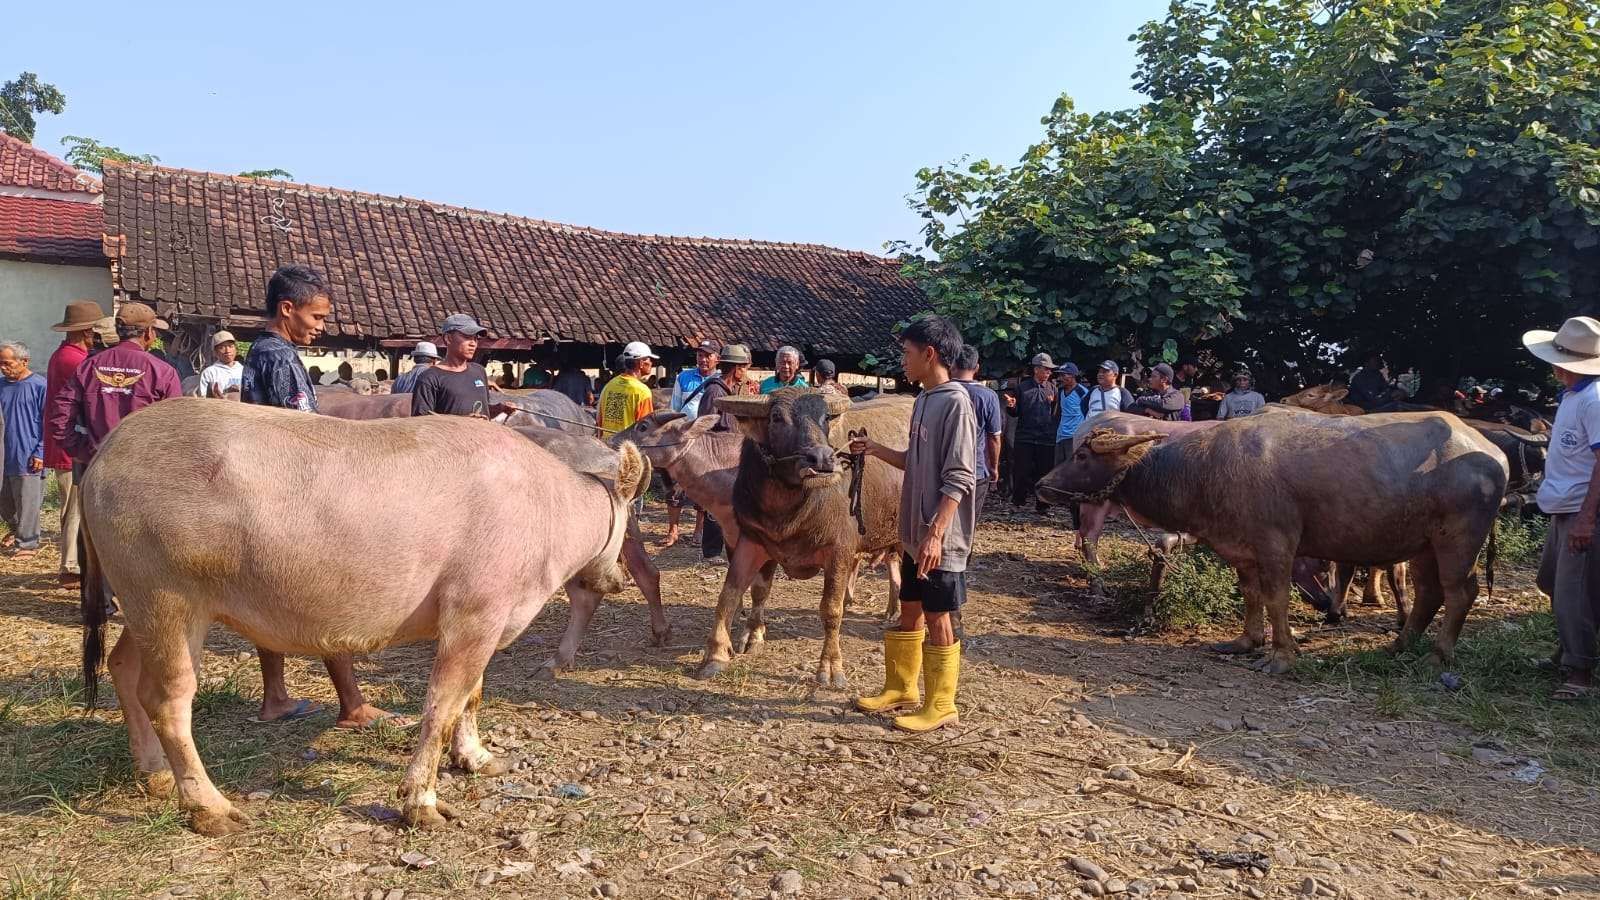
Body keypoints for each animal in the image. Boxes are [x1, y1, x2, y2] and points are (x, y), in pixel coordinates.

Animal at [79, 398, 643, 832]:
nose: (619, 579)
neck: (547, 510)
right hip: (167, 598)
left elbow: (473, 696)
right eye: (630, 526)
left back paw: (153, 774)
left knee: (123, 668)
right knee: (168, 698)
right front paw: (422, 803)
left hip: (141, 603)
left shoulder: (488, 617)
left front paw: (478, 758)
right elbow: (442, 705)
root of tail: (107, 450)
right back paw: (210, 809)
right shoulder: (475, 613)